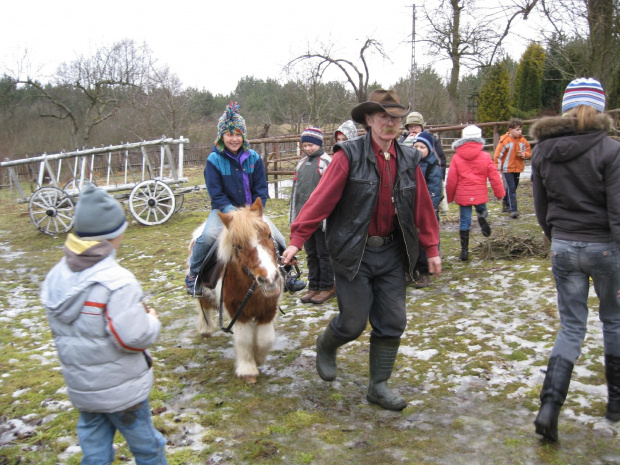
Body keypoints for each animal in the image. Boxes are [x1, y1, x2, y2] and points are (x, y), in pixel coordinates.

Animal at [189, 198, 284, 382]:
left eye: (269, 235)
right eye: (238, 246)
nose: (269, 279)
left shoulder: (268, 309)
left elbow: (265, 339)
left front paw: (259, 358)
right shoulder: (237, 312)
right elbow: (244, 339)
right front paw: (248, 370)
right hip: (203, 292)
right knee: (204, 306)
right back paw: (205, 330)